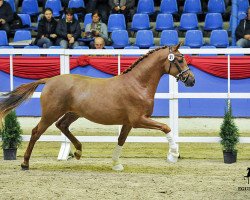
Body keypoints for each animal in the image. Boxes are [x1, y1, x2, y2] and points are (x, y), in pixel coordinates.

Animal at [0, 44, 194, 171]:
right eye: (180, 59)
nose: (191, 80)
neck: (138, 84)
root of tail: (49, 80)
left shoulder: (128, 123)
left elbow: (121, 140)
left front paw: (116, 164)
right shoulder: (138, 120)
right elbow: (166, 127)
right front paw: (173, 155)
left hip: (73, 113)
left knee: (62, 125)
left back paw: (78, 151)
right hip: (50, 113)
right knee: (36, 132)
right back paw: (25, 164)